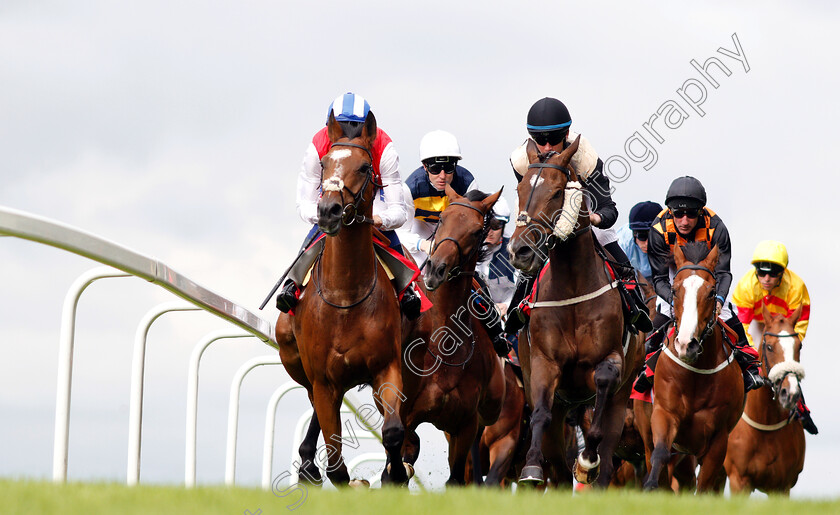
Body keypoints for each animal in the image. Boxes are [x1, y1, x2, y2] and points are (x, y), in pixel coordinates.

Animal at [276, 112, 406, 488]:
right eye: (324, 163)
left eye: (364, 167)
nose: (329, 210)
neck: (346, 296)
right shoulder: (323, 380)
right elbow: (335, 461)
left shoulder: (387, 366)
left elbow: (393, 431)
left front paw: (395, 475)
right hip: (296, 361)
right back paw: (307, 464)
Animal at [400, 187, 506, 486]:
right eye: (442, 219)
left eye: (476, 230)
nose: (436, 269)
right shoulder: (405, 416)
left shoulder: (466, 424)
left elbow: (457, 476)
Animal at [508, 138, 640, 488]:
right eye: (520, 188)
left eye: (557, 192)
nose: (520, 251)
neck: (572, 289)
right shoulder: (543, 363)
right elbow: (540, 413)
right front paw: (530, 468)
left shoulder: (611, 360)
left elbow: (604, 386)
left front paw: (587, 459)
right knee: (556, 461)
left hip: (621, 396)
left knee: (607, 447)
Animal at [644, 244, 740, 494]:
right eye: (675, 290)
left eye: (711, 292)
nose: (687, 344)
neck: (695, 374)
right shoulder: (664, 413)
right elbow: (660, 453)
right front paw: (650, 486)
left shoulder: (719, 436)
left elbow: (705, 483)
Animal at [720, 306, 808, 496]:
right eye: (769, 347)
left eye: (799, 346)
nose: (790, 393)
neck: (765, 422)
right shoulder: (739, 480)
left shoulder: (782, 486)